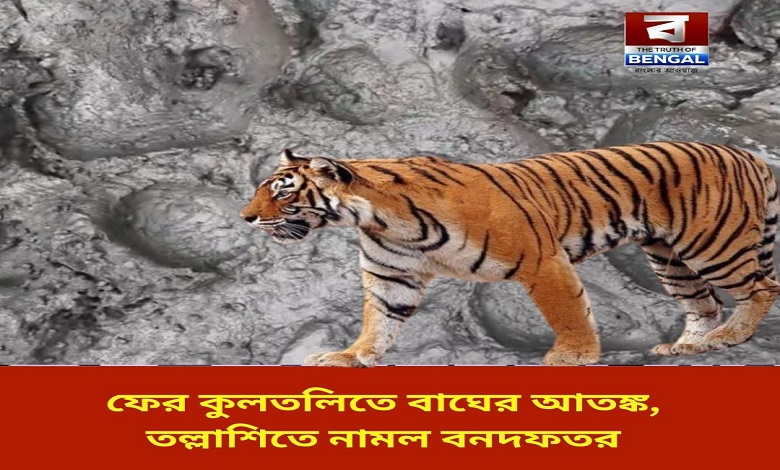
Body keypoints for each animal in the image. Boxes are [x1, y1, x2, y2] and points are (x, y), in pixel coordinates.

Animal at [240, 142, 780, 367]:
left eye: (284, 192)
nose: (245, 217)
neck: (383, 220)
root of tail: (746, 154)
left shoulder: (543, 261)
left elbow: (569, 312)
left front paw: (573, 357)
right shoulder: (393, 277)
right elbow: (379, 323)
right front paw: (349, 357)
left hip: (714, 243)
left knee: (761, 286)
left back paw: (729, 338)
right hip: (668, 256)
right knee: (703, 304)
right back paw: (688, 347)